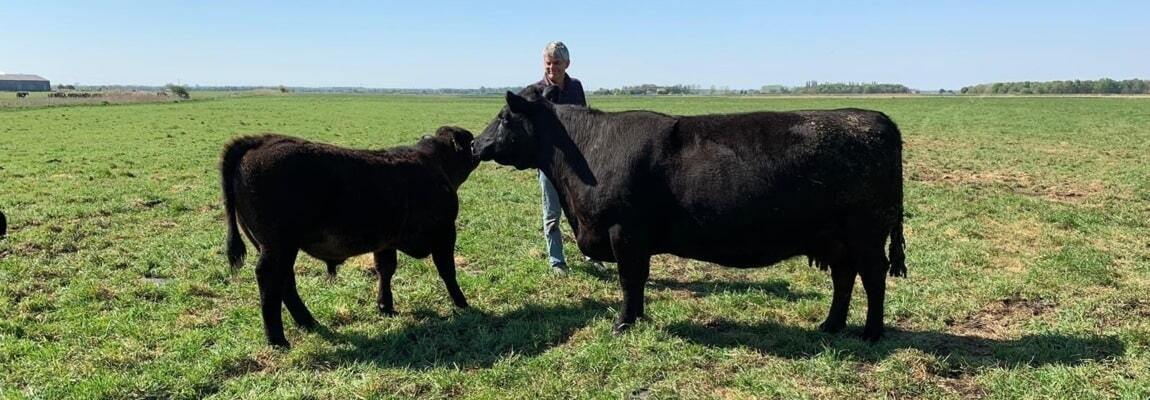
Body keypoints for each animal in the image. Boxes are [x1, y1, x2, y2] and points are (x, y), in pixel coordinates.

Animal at [220, 126, 480, 347]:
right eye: (469, 139)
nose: (479, 146)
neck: (435, 165)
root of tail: (261, 141)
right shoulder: (445, 232)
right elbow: (447, 271)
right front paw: (462, 303)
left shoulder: (386, 241)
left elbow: (385, 269)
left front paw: (386, 307)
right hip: (278, 246)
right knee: (269, 279)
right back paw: (278, 339)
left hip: (274, 247)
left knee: (285, 282)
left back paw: (308, 322)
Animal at [473, 90, 906, 341]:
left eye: (505, 117)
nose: (475, 144)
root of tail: (877, 118)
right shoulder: (633, 238)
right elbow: (639, 281)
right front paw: (637, 318)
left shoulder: (624, 231)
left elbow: (630, 280)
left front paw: (623, 324)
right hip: (836, 239)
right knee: (844, 278)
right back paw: (831, 325)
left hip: (866, 234)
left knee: (873, 278)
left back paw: (871, 333)